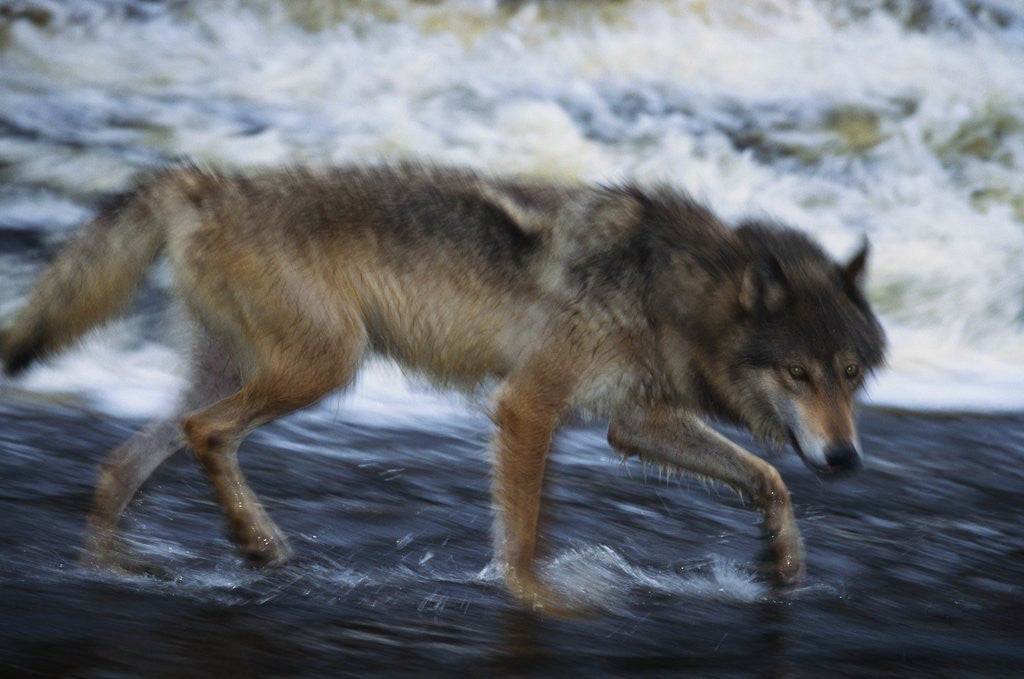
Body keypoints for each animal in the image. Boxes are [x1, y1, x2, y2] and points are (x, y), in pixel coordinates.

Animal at [0, 163, 885, 609]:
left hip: (245, 369)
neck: (667, 284)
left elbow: (769, 478)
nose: (846, 458)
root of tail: (205, 182)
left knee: (121, 461)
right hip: (326, 366)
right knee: (204, 432)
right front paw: (535, 599)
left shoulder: (631, 422)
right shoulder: (528, 405)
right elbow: (521, 534)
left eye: (849, 374)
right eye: (798, 373)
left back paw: (114, 569)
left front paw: (783, 562)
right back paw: (256, 544)